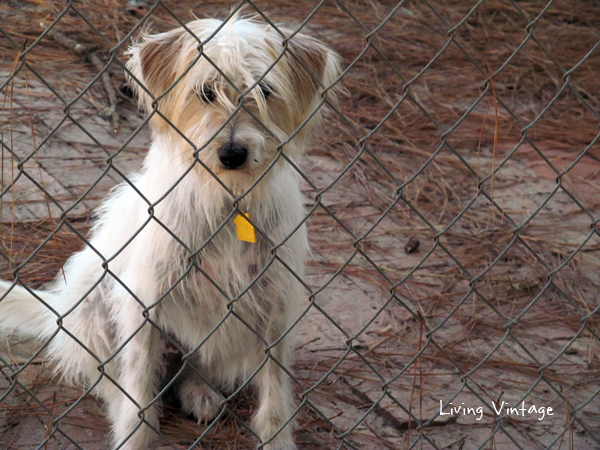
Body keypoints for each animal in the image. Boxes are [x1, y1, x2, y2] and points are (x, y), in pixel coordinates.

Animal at [0, 14, 340, 450]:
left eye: (264, 91)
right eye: (206, 92)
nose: (232, 154)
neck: (226, 201)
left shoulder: (274, 306)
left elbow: (276, 402)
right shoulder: (144, 302)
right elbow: (139, 394)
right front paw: (134, 436)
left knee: (191, 366)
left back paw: (198, 390)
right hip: (94, 308)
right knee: (108, 378)